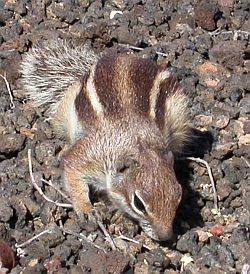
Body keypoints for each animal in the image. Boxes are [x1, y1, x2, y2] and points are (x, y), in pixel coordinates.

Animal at [20, 39, 189, 241]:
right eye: (138, 203)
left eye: (179, 195)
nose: (165, 237)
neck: (139, 145)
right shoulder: (90, 155)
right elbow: (72, 169)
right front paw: (87, 208)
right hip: (65, 110)